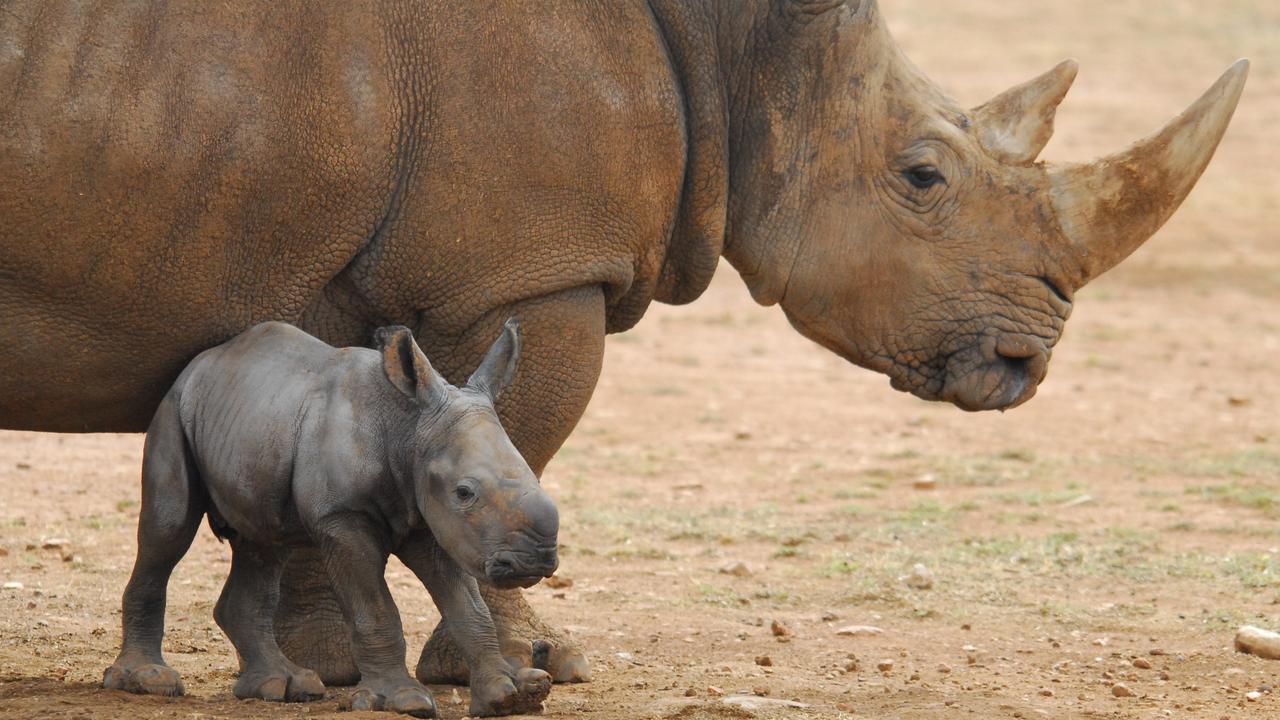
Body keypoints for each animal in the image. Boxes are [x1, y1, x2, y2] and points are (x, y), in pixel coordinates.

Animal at [101, 320, 555, 717]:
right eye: (465, 492)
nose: (537, 560)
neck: (409, 429)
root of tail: (200, 364)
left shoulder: (433, 521)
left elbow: (469, 609)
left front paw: (509, 696)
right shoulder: (343, 517)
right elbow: (376, 609)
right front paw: (402, 701)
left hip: (257, 424)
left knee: (264, 545)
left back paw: (283, 687)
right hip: (173, 410)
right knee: (168, 530)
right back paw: (148, 681)